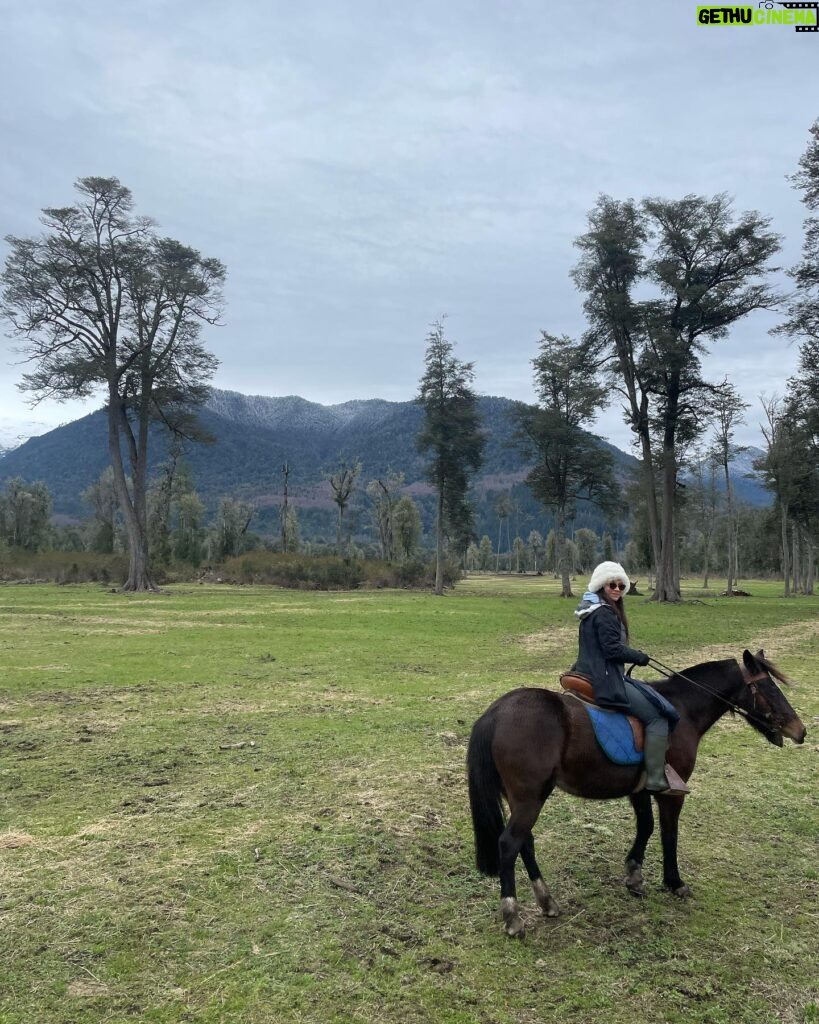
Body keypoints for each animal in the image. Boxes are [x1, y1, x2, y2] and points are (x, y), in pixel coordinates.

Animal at [466, 651, 806, 937]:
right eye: (770, 689)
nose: (800, 731)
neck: (682, 709)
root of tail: (496, 712)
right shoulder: (671, 793)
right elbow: (669, 832)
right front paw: (674, 882)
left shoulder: (641, 789)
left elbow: (646, 826)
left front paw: (634, 875)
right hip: (529, 799)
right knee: (509, 845)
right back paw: (513, 917)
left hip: (524, 798)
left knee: (525, 843)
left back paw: (547, 902)